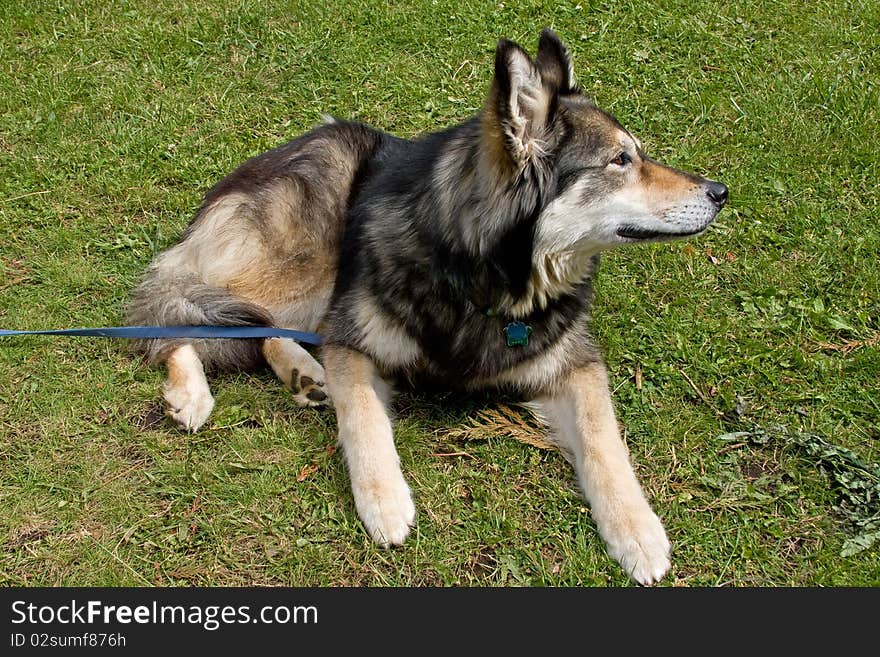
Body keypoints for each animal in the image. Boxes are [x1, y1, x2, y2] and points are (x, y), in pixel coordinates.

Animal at [125, 30, 728, 584]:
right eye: (621, 160)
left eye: (636, 154)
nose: (720, 192)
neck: (485, 281)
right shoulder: (353, 337)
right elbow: (364, 418)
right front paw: (384, 501)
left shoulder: (574, 364)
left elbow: (604, 443)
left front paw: (638, 531)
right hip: (309, 257)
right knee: (175, 305)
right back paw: (192, 393)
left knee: (249, 323)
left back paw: (303, 374)